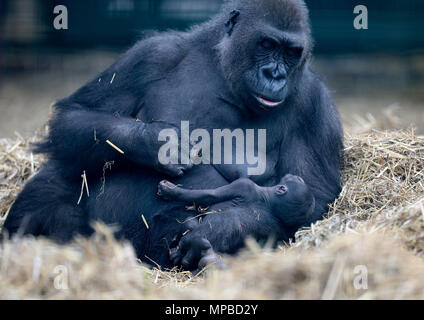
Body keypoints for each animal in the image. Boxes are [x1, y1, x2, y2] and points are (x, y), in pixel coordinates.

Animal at [157, 174, 314, 272]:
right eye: (299, 180)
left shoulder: (244, 185)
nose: (297, 176)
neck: (268, 201)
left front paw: (170, 190)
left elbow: (207, 195)